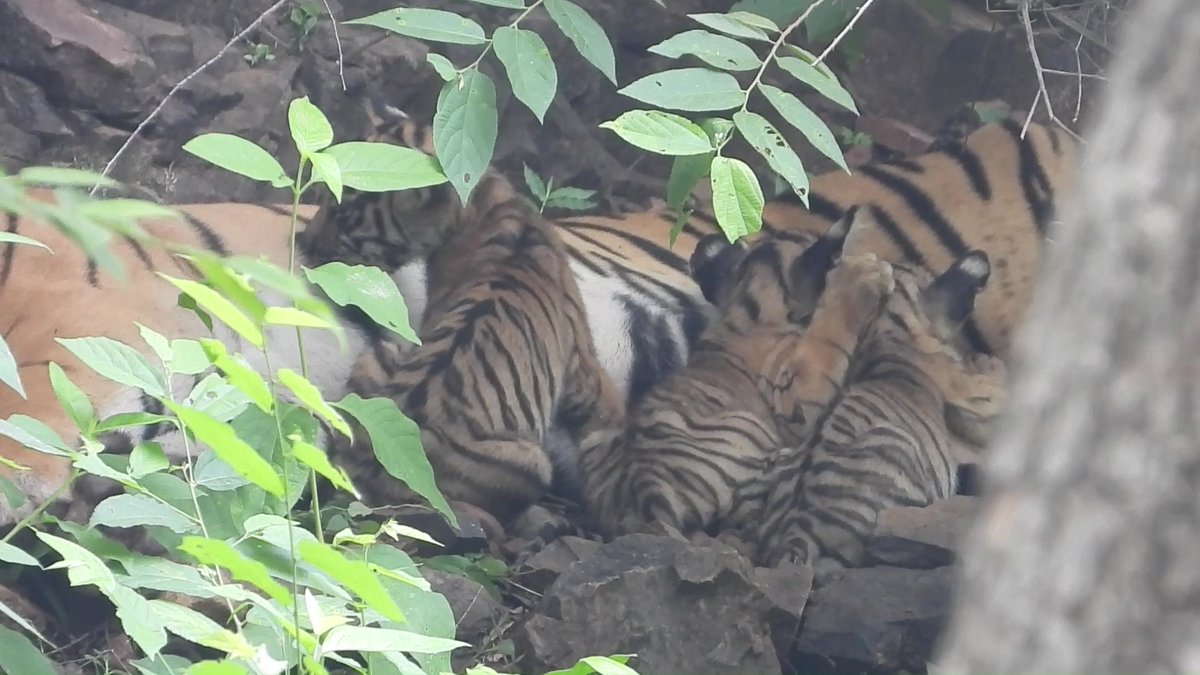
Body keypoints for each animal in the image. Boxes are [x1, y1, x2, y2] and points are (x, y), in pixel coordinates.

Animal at [300, 120, 626, 532]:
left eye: (343, 216)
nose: (304, 243)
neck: (482, 201)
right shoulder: (582, 358)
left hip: (383, 357)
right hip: (532, 459)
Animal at [579, 207, 895, 540]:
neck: (747, 310)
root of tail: (643, 502)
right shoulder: (794, 397)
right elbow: (829, 338)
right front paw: (868, 273)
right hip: (746, 427)